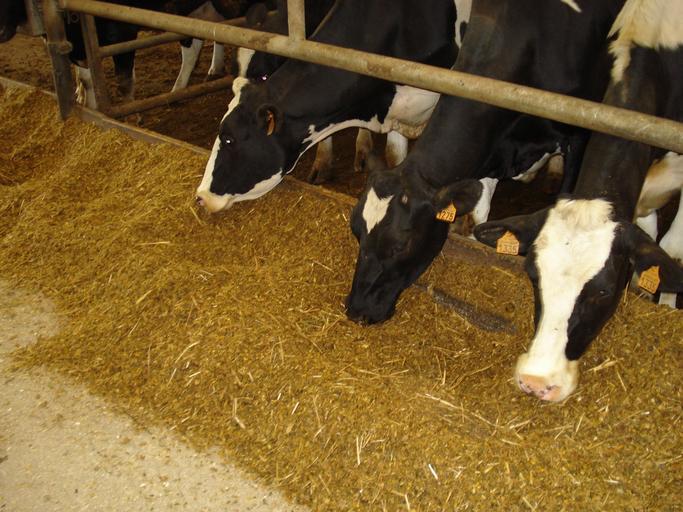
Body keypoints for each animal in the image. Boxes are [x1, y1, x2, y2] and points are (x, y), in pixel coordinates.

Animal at [345, 0, 624, 325]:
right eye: (356, 232)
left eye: (400, 246)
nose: (356, 310)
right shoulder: (490, 149)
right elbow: (479, 215)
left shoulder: (581, 131)